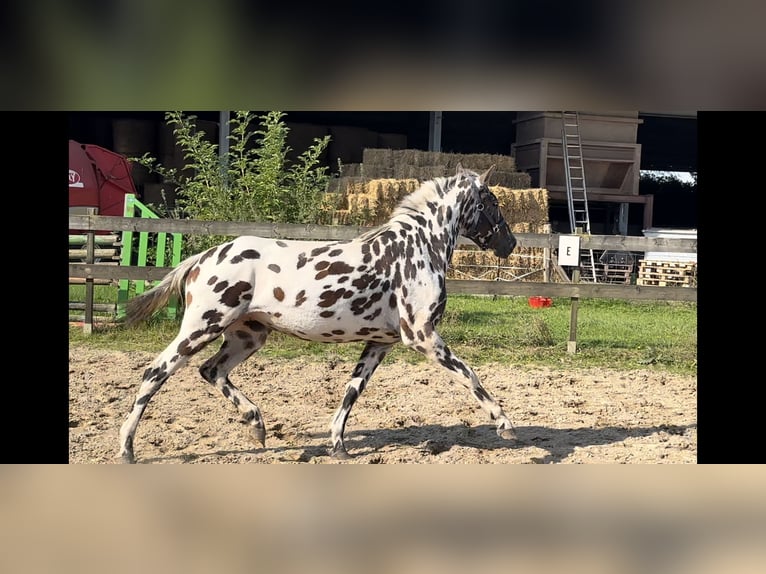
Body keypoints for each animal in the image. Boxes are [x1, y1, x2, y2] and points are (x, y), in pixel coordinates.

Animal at [115, 162, 520, 464]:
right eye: (493, 202)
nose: (511, 243)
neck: (416, 249)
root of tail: (203, 258)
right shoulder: (421, 336)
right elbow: (470, 376)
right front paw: (506, 424)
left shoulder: (381, 342)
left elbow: (352, 391)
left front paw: (338, 446)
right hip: (203, 326)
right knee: (155, 373)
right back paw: (127, 449)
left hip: (248, 335)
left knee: (211, 371)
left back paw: (257, 425)